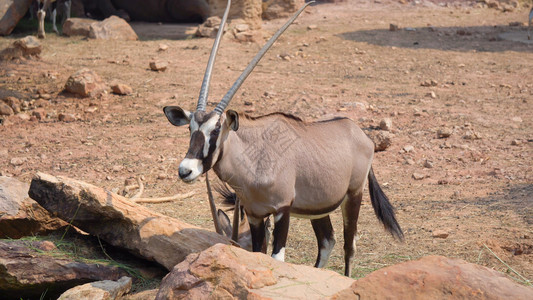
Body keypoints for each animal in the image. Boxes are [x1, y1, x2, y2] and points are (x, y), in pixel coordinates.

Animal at [164, 0, 402, 276]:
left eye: (215, 130)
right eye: (190, 129)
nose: (185, 170)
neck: (254, 157)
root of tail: (358, 132)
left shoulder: (281, 210)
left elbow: (277, 258)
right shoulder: (255, 214)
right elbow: (258, 253)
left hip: (353, 195)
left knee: (348, 245)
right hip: (317, 208)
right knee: (327, 241)